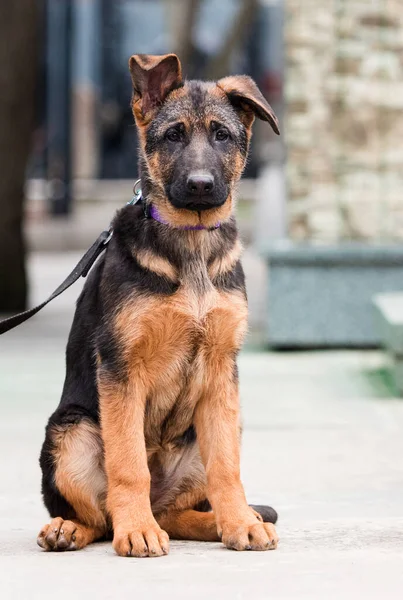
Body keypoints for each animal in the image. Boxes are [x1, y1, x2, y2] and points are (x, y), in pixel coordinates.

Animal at [36, 54, 280, 556]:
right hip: (72, 432)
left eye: (222, 135)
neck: (190, 242)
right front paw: (137, 532)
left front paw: (239, 522)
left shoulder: (222, 370)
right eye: (173, 136)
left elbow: (228, 467)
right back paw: (76, 528)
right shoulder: (122, 367)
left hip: (211, 435)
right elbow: (128, 464)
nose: (201, 186)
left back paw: (223, 521)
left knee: (175, 511)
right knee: (99, 514)